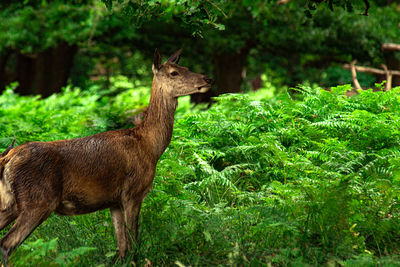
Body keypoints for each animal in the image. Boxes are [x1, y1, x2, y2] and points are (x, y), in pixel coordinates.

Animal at [0, 49, 212, 264]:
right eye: (173, 73)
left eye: (185, 67)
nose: (207, 78)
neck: (150, 146)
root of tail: (8, 159)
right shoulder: (133, 192)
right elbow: (134, 244)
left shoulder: (114, 202)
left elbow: (122, 246)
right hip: (38, 199)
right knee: (7, 243)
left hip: (9, 203)